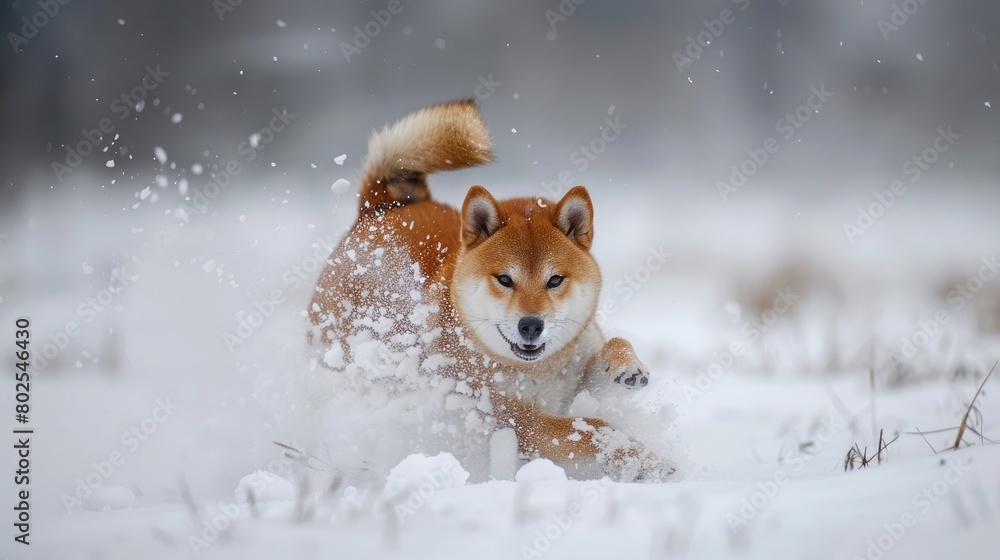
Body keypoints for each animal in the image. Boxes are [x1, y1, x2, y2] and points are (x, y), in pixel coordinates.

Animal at [312, 99, 672, 482]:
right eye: (504, 279)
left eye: (554, 280)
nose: (531, 325)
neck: (539, 370)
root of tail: (380, 207)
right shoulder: (520, 423)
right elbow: (594, 428)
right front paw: (646, 462)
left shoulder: (575, 372)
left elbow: (612, 348)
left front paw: (628, 368)